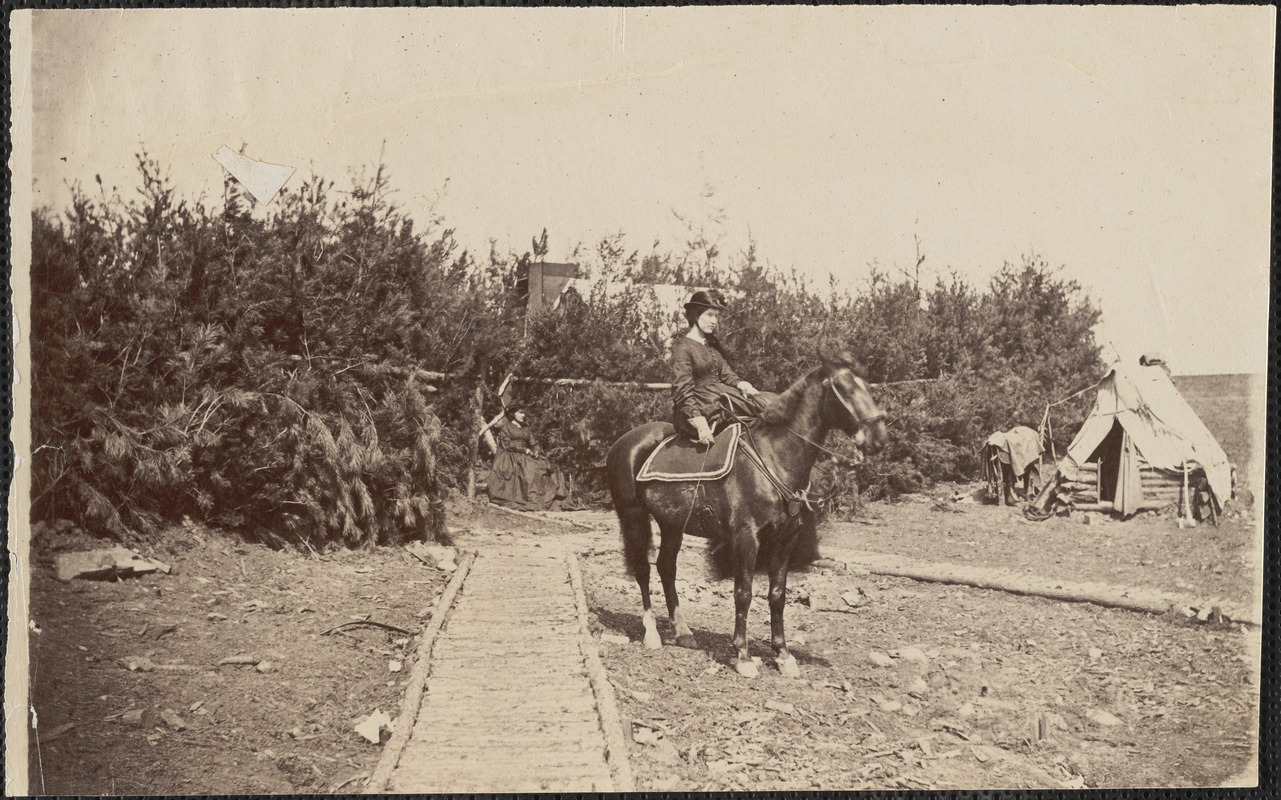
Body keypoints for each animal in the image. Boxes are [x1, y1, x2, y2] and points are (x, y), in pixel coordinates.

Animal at [602, 345, 886, 675]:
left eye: (868, 386)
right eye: (846, 388)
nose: (879, 438)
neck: (773, 457)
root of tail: (623, 442)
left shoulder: (785, 539)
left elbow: (777, 595)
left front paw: (783, 654)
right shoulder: (746, 537)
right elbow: (743, 593)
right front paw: (743, 655)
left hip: (672, 524)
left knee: (666, 568)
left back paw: (683, 633)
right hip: (634, 517)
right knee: (643, 569)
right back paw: (652, 634)